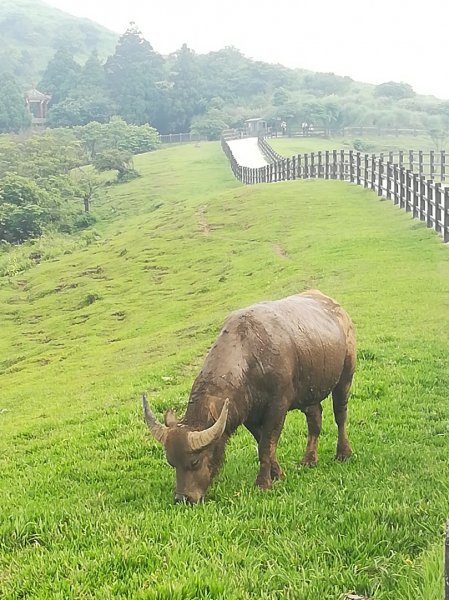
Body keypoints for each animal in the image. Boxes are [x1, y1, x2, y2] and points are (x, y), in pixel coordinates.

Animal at [142, 290, 356, 502]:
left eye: (195, 461)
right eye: (171, 461)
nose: (183, 498)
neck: (250, 357)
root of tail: (340, 311)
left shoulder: (277, 407)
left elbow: (266, 445)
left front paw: (263, 483)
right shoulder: (248, 415)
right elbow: (262, 443)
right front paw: (277, 474)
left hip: (345, 376)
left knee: (340, 415)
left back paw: (343, 453)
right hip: (309, 391)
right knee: (315, 418)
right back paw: (309, 460)